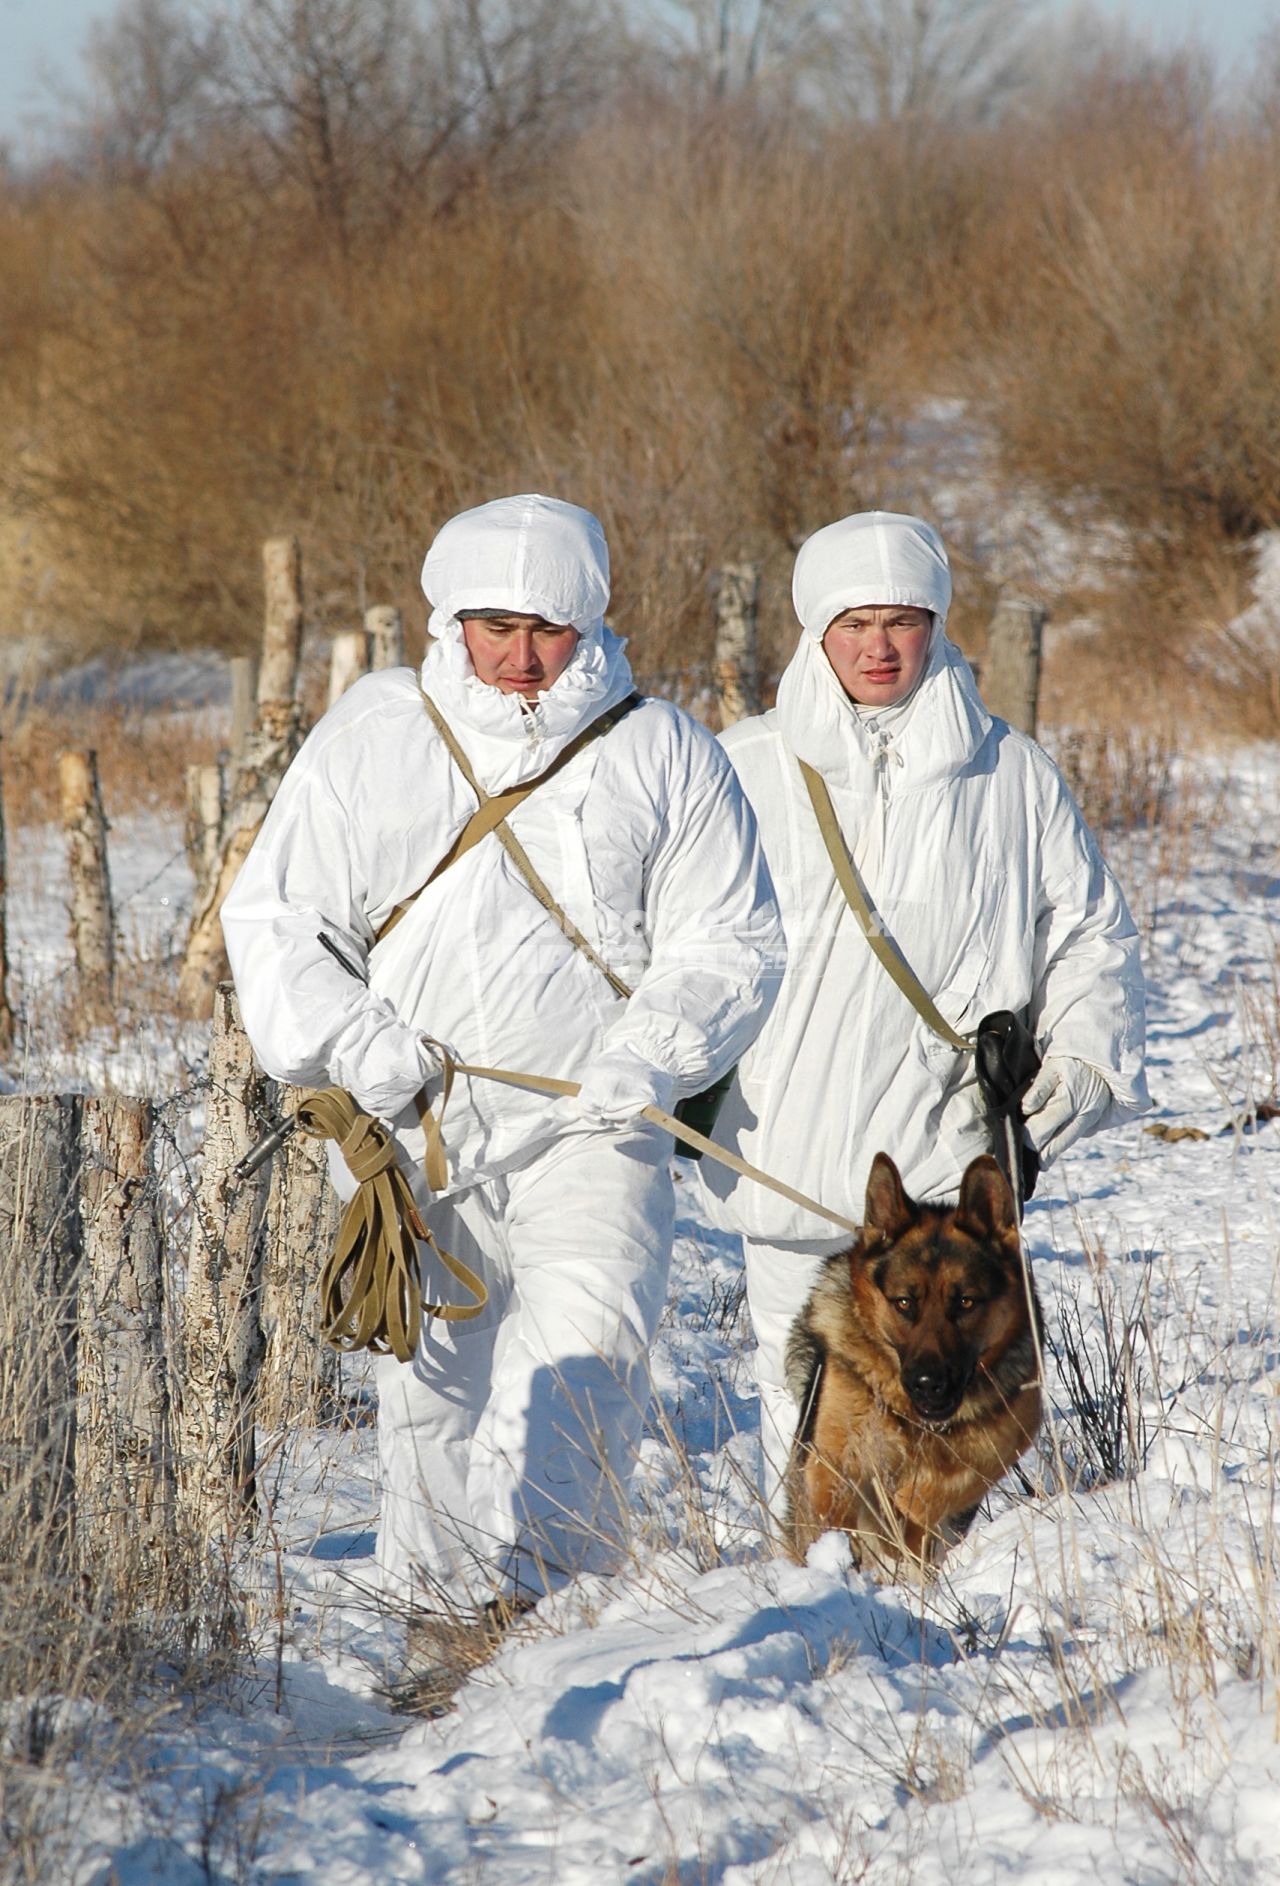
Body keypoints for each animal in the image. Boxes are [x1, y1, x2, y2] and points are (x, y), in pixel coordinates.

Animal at [780, 1146, 1040, 1576]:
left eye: (965, 1302)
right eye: (904, 1302)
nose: (927, 1384)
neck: (910, 1418)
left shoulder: (1002, 1439)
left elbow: (941, 1489)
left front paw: (905, 1517)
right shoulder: (830, 1458)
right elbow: (829, 1505)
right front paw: (833, 1558)